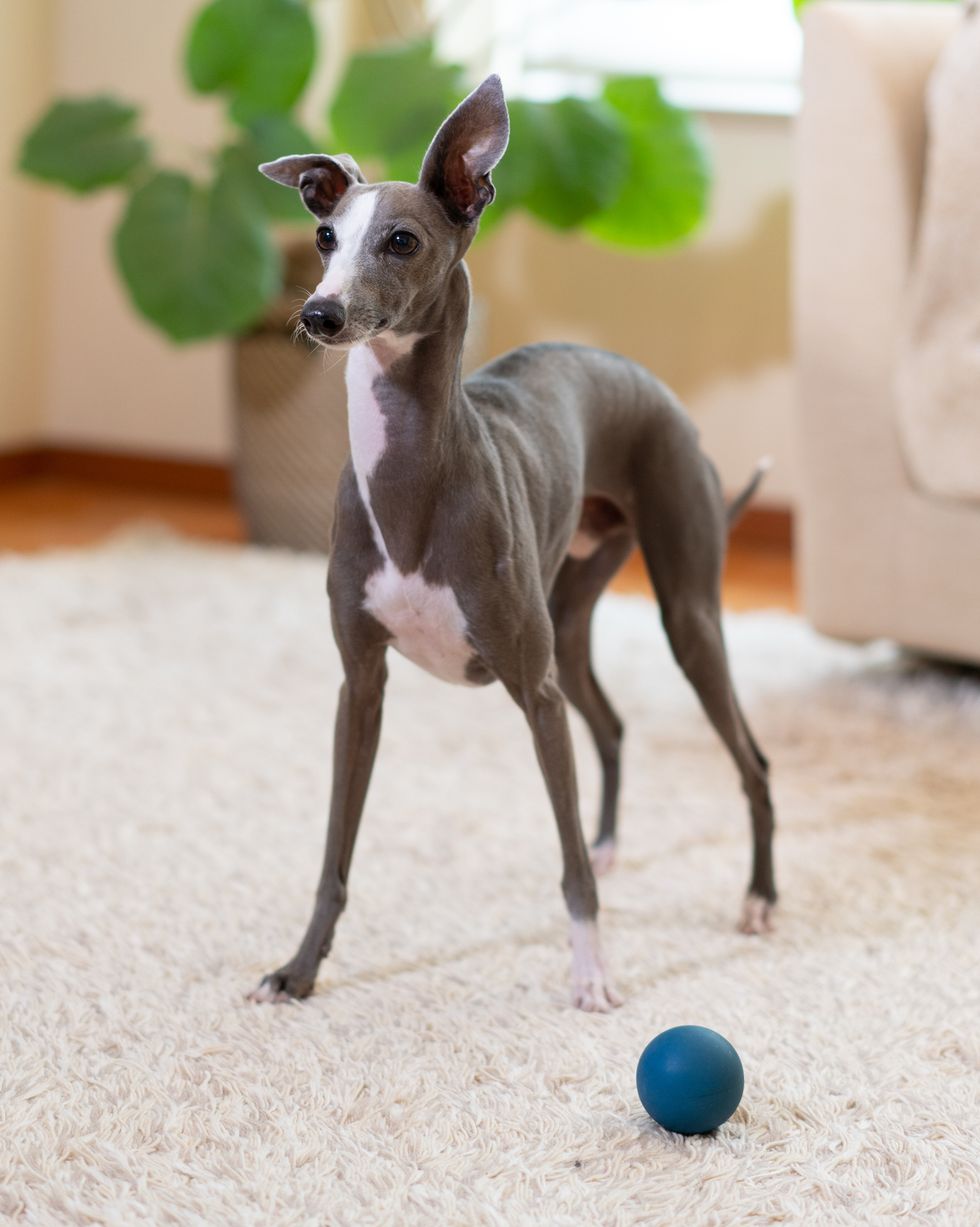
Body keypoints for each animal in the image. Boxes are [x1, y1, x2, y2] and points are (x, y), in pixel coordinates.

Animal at [248, 74, 780, 1015]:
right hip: (569, 618)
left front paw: (592, 974)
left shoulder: (531, 691)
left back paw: (757, 898)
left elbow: (566, 868)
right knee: (612, 726)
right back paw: (615, 841)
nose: (318, 314)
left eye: (401, 239)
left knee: (752, 759)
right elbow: (334, 858)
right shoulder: (361, 684)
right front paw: (301, 969)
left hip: (684, 613)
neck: (414, 476)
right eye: (324, 236)